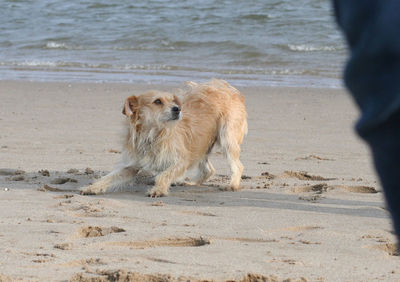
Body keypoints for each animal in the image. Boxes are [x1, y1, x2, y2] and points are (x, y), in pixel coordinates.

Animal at [82, 78, 247, 197]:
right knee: (208, 170)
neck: (153, 134)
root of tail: (226, 88)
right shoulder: (131, 165)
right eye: (157, 101)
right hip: (201, 144)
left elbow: (163, 175)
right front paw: (92, 187)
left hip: (227, 137)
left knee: (237, 165)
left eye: (173, 101)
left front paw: (158, 190)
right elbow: (109, 177)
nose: (178, 109)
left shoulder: (182, 160)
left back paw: (232, 184)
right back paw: (191, 183)